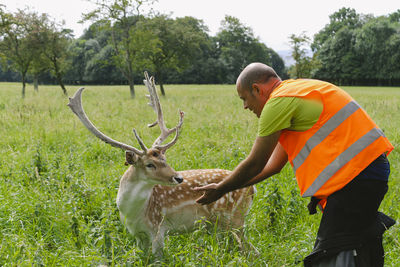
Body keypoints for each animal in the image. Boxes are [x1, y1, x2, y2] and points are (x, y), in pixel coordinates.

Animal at [67, 72, 255, 256]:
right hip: (220, 225)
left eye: (164, 159)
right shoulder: (137, 235)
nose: (178, 178)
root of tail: (253, 190)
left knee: (251, 250)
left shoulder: (158, 228)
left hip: (234, 219)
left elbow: (158, 258)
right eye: (150, 164)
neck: (133, 213)